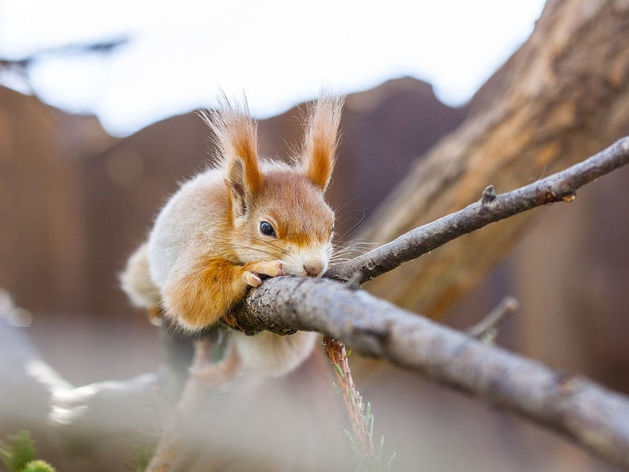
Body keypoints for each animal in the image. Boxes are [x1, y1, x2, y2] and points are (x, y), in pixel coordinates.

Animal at [119, 96, 340, 376]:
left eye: (331, 227)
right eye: (266, 228)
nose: (314, 267)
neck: (229, 227)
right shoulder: (203, 239)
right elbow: (186, 294)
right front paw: (251, 270)